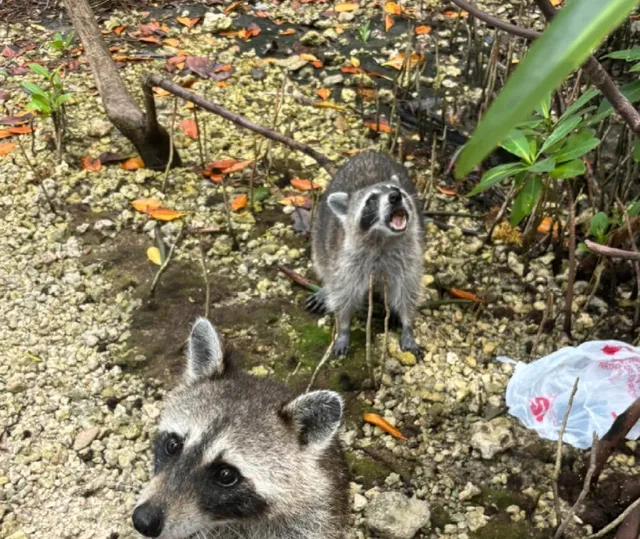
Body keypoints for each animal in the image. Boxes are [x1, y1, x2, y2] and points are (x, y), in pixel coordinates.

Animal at [308, 151, 424, 360]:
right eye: (371, 200)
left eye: (397, 190)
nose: (396, 196)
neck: (383, 239)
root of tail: (369, 152)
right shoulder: (347, 262)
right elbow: (343, 294)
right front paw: (343, 328)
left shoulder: (410, 258)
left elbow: (407, 291)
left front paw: (407, 325)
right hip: (320, 231)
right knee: (324, 264)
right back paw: (326, 287)